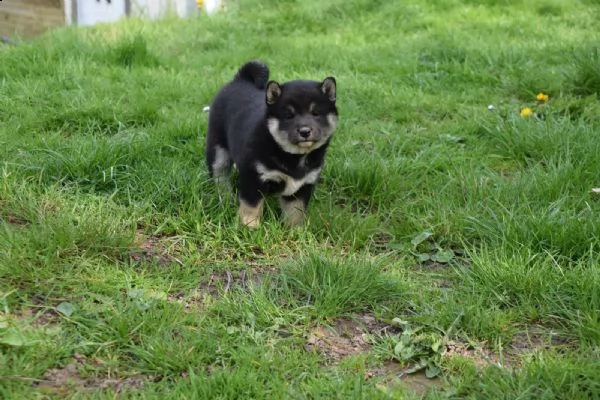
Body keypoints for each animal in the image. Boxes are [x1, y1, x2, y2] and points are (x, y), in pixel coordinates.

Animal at [205, 60, 338, 228]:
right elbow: (251, 206)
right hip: (218, 149)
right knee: (219, 175)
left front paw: (295, 230)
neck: (294, 155)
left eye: (316, 114)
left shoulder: (302, 186)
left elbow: (296, 211)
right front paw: (250, 226)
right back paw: (225, 196)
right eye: (289, 116)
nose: (305, 131)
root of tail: (240, 79)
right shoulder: (254, 177)